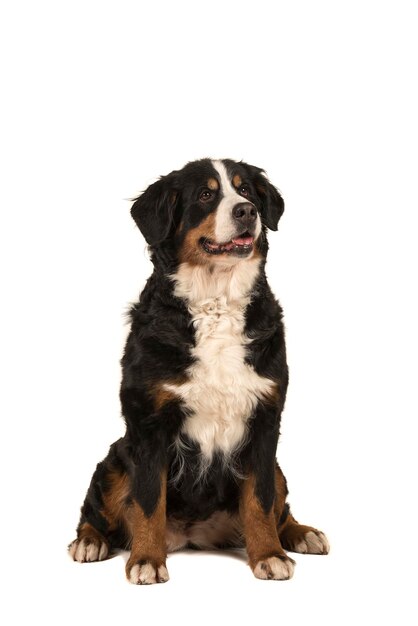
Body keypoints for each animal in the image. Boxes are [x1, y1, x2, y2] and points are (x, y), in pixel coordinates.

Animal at [68, 156, 330, 580]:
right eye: (206, 194)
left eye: (246, 190)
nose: (247, 212)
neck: (216, 302)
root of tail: (193, 535)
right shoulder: (149, 424)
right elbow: (147, 500)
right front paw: (146, 559)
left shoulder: (265, 419)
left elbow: (260, 501)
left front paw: (268, 554)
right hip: (115, 459)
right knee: (96, 512)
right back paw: (90, 541)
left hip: (276, 466)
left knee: (280, 506)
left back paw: (301, 533)